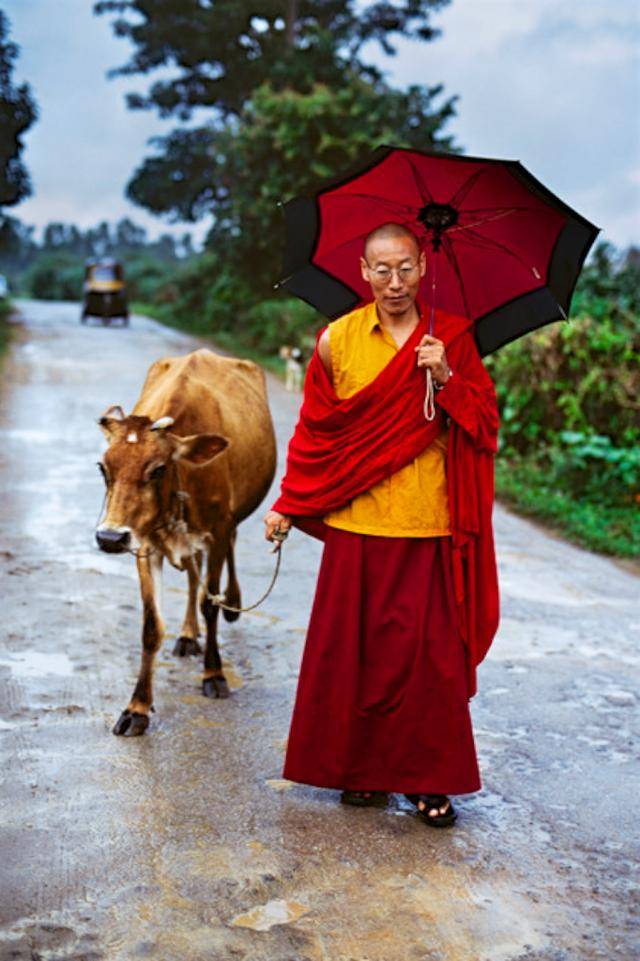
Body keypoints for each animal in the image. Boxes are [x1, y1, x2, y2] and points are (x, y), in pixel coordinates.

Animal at [96, 346, 276, 736]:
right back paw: (188, 634)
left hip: (230, 523)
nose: (109, 537)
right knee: (194, 577)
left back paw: (232, 604)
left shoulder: (218, 531)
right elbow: (151, 625)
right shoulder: (144, 544)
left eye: (158, 469)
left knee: (225, 562)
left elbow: (211, 603)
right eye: (103, 468)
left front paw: (214, 674)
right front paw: (137, 708)